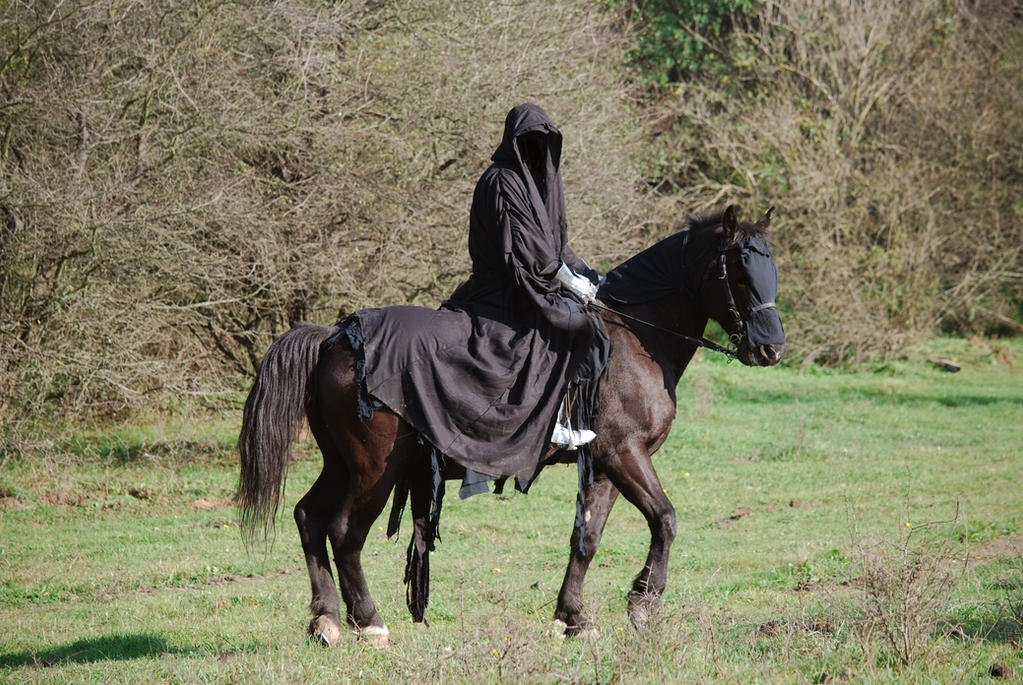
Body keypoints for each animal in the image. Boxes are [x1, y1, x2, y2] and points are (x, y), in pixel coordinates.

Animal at [237, 205, 786, 647]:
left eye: (771, 268)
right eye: (738, 271)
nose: (771, 350)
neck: (634, 339)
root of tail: (335, 335)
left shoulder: (605, 465)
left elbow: (587, 539)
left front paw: (574, 618)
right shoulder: (625, 453)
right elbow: (666, 519)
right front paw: (642, 605)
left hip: (341, 464)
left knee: (308, 518)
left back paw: (326, 620)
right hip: (375, 471)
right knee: (344, 532)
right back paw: (369, 623)